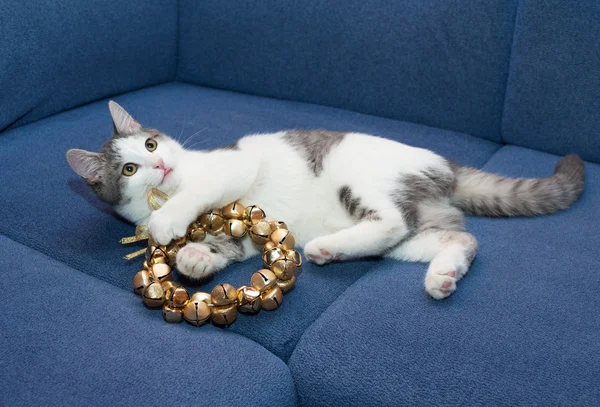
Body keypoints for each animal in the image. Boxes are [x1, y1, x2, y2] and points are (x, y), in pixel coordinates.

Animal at [67, 102, 584, 300]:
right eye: (128, 169)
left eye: (151, 144)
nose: (159, 165)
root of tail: (447, 167)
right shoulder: (246, 232)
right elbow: (226, 246)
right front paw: (196, 256)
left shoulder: (233, 168)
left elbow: (201, 192)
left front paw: (171, 221)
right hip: (418, 233)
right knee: (457, 238)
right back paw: (441, 274)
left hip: (357, 177)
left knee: (393, 220)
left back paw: (323, 249)